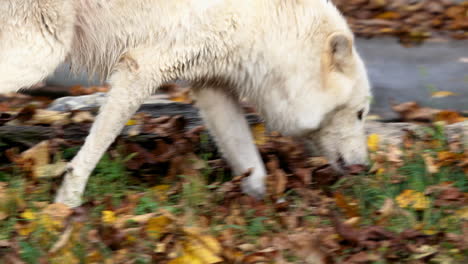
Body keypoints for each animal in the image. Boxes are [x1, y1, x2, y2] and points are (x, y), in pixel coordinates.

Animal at [0, 0, 372, 207]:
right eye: (359, 114)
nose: (366, 168)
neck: (271, 26)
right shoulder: (141, 70)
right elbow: (93, 151)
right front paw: (67, 204)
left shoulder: (212, 88)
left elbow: (253, 167)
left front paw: (261, 209)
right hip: (41, 53)